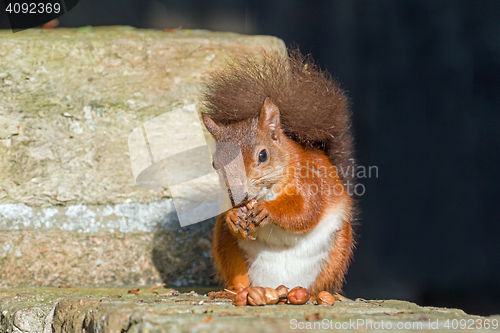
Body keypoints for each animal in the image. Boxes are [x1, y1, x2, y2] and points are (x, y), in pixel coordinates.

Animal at [200, 48, 356, 294]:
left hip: (338, 250)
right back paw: (235, 291)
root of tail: (279, 284)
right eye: (215, 164)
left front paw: (268, 210)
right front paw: (233, 215)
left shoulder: (310, 181)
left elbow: (305, 211)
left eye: (263, 155)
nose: (239, 196)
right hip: (226, 247)